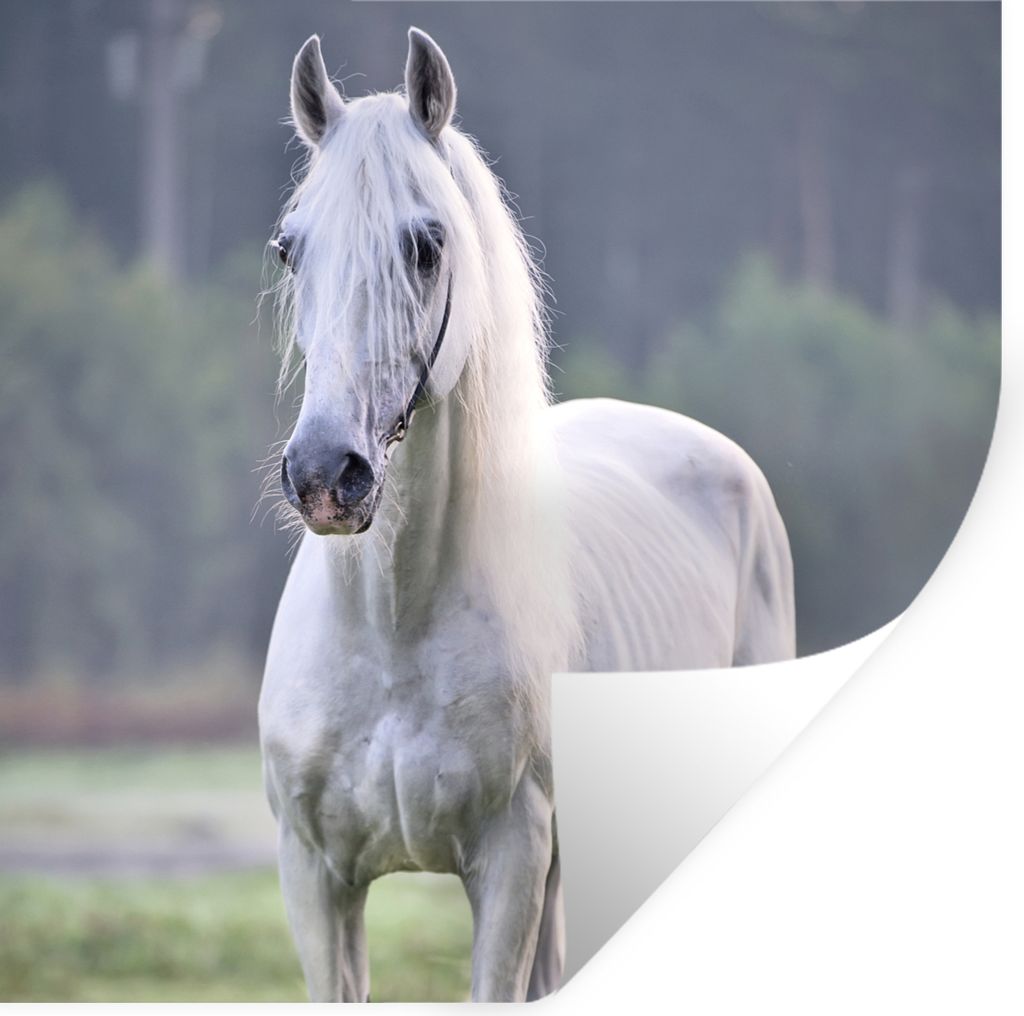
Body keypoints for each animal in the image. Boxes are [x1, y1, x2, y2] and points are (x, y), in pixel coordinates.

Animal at [258, 27, 795, 1003]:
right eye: (290, 249)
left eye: (426, 244)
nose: (325, 476)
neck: (392, 630)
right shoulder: (314, 877)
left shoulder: (510, 861)